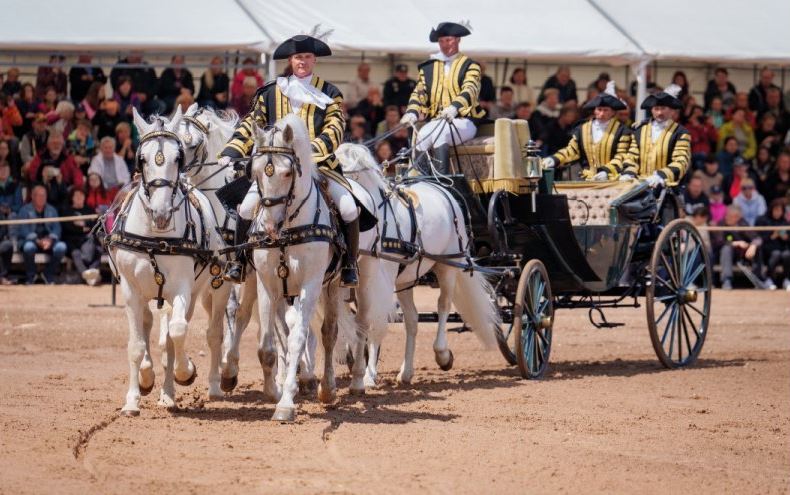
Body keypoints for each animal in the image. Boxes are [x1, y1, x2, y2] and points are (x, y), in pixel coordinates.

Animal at [111, 107, 224, 414]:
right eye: (143, 159)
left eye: (177, 158)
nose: (161, 214)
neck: (155, 237)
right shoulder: (130, 291)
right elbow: (136, 345)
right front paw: (132, 399)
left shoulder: (182, 288)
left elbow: (177, 331)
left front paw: (186, 372)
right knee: (150, 323)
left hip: (209, 289)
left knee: (196, 332)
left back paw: (179, 390)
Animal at [248, 115, 366, 422]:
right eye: (255, 171)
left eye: (288, 173)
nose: (269, 227)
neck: (287, 230)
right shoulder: (267, 285)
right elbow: (267, 346)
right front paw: (273, 392)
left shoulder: (310, 285)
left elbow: (299, 338)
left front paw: (286, 403)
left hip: (333, 286)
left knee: (328, 333)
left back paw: (327, 389)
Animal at [336, 143, 502, 388]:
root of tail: (443, 188)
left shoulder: (380, 283)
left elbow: (375, 323)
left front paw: (368, 375)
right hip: (405, 280)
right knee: (412, 320)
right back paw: (406, 372)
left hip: (448, 266)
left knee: (443, 305)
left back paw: (442, 354)